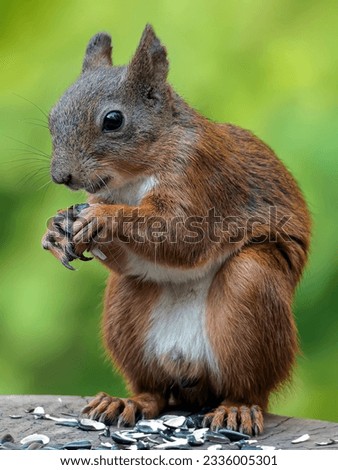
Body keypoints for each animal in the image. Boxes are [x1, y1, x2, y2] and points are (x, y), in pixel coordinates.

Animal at [43, 25, 312, 436]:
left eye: (113, 120)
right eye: (52, 117)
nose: (62, 177)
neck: (133, 177)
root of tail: (192, 376)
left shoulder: (203, 176)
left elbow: (181, 235)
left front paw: (102, 217)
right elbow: (128, 256)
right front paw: (56, 229)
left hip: (251, 290)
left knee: (248, 387)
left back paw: (237, 409)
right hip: (127, 312)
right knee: (153, 392)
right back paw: (125, 402)